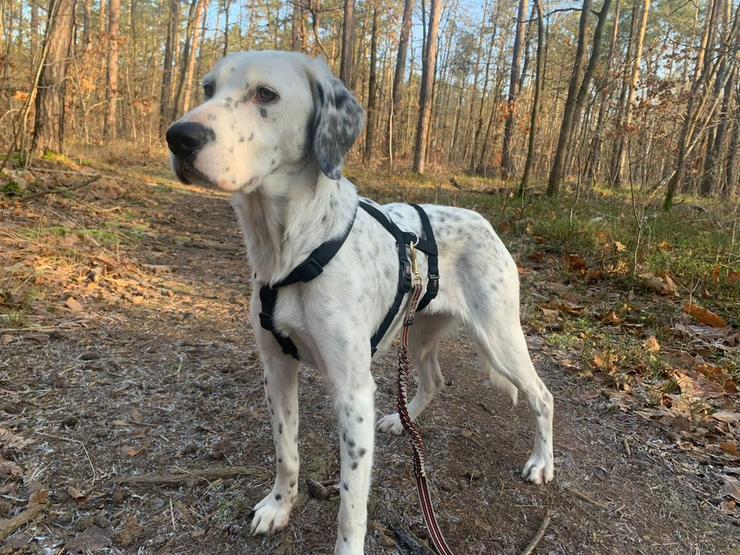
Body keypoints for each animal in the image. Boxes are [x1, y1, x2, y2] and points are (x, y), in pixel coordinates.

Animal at [165, 50, 552, 552]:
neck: (293, 248)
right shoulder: (277, 367)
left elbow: (351, 505)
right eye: (208, 89)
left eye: (265, 93)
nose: (178, 136)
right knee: (434, 380)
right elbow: (287, 453)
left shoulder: (352, 392)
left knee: (542, 395)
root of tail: (485, 222)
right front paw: (279, 506)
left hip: (499, 337)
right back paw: (401, 422)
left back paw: (542, 463)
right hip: (419, 332)